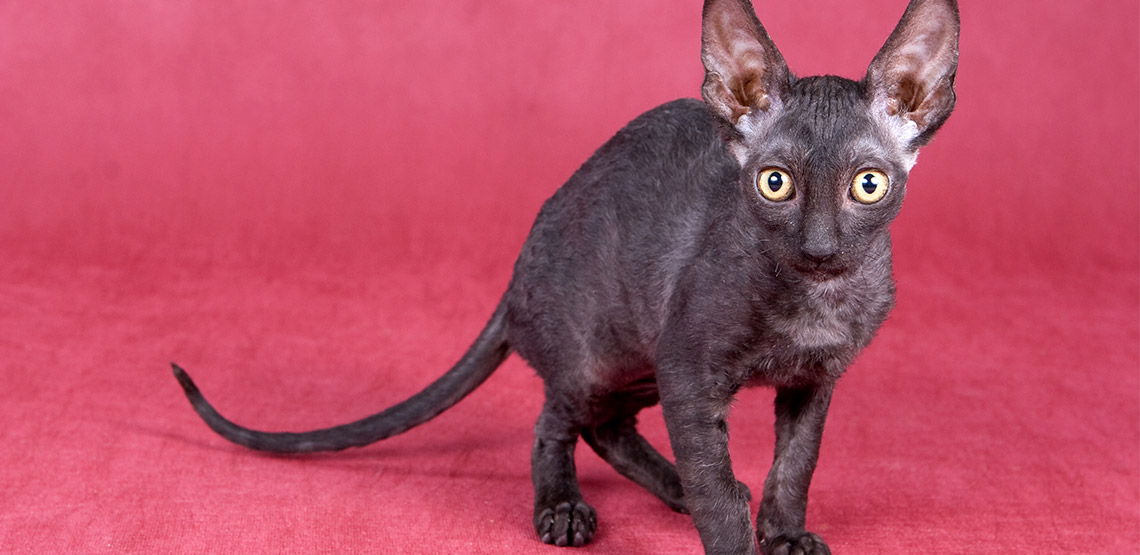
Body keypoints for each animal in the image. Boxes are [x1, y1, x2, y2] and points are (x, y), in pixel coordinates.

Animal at [168, 2, 957, 553]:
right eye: (774, 183)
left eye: (866, 185)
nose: (820, 246)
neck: (817, 297)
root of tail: (519, 268)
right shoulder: (691, 364)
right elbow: (719, 483)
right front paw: (730, 529)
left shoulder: (814, 381)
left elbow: (795, 465)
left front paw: (784, 532)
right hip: (601, 351)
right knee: (556, 422)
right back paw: (566, 507)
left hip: (634, 355)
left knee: (608, 426)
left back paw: (671, 485)